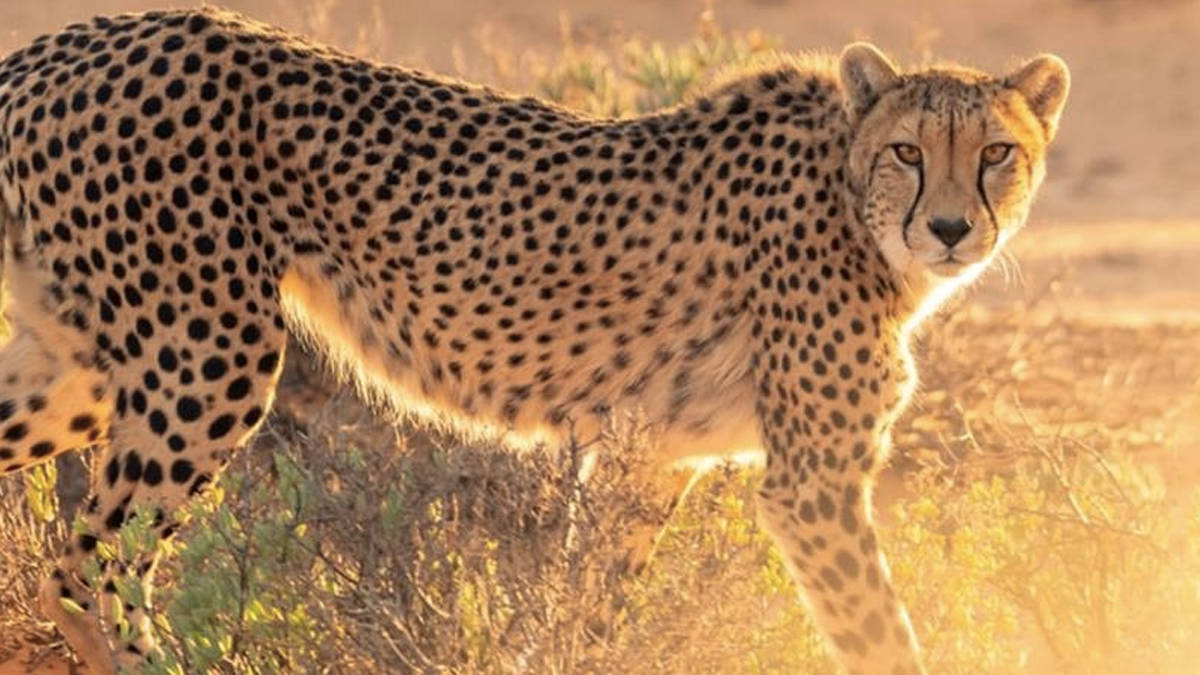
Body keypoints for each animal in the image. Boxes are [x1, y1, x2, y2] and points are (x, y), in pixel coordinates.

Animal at [0, 7, 1068, 674]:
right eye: (908, 152)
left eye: (997, 153)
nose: (951, 229)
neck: (851, 196)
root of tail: (67, 42)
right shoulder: (813, 485)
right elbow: (880, 631)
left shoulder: (650, 458)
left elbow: (588, 609)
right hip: (208, 354)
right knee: (93, 559)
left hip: (87, 367)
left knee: (70, 536)